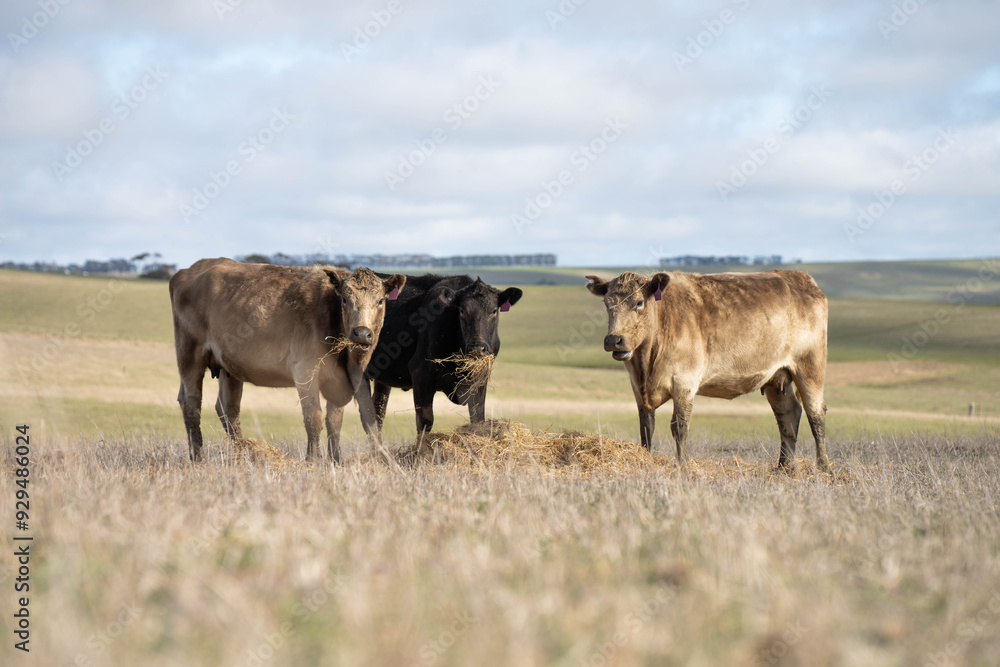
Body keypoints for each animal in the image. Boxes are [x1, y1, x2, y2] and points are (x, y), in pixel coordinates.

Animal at [168, 257, 405, 463]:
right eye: (345, 300)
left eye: (380, 301)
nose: (361, 333)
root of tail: (190, 270)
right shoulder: (305, 371)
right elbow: (314, 419)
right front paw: (313, 461)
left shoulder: (341, 379)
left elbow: (334, 421)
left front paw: (336, 462)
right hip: (190, 355)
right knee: (192, 403)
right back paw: (198, 458)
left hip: (229, 367)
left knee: (228, 409)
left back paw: (240, 453)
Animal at [325, 274, 522, 440]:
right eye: (462, 311)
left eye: (493, 311)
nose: (477, 348)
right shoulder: (421, 374)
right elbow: (425, 422)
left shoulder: (480, 379)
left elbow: (478, 418)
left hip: (382, 380)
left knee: (376, 415)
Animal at [586, 269, 831, 472]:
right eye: (607, 304)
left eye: (638, 303)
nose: (614, 340)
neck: (646, 363)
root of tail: (802, 278)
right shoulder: (638, 387)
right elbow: (646, 427)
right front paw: (645, 459)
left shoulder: (684, 382)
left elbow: (679, 426)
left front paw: (682, 465)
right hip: (776, 378)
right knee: (788, 415)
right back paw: (784, 467)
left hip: (810, 367)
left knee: (815, 414)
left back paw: (823, 467)